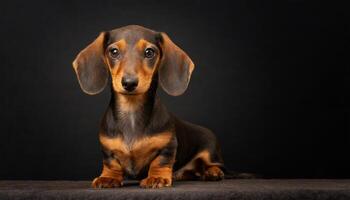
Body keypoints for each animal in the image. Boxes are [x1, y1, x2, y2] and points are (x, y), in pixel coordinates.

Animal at [73, 24, 227, 188]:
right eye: (114, 51)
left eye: (149, 52)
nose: (129, 83)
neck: (131, 111)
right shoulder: (107, 150)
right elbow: (111, 164)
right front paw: (108, 177)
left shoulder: (168, 146)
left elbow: (160, 162)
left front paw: (157, 177)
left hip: (210, 151)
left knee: (214, 165)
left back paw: (213, 172)